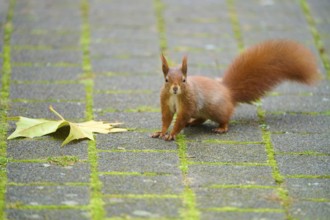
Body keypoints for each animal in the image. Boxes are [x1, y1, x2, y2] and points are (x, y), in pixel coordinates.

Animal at [151, 39, 320, 141]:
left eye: (184, 80)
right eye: (166, 80)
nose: (175, 89)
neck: (175, 96)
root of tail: (229, 93)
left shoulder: (188, 103)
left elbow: (180, 119)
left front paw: (172, 134)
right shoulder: (166, 102)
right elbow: (167, 118)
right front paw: (161, 131)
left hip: (217, 109)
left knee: (225, 119)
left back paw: (221, 128)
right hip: (203, 110)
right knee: (202, 118)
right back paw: (193, 122)